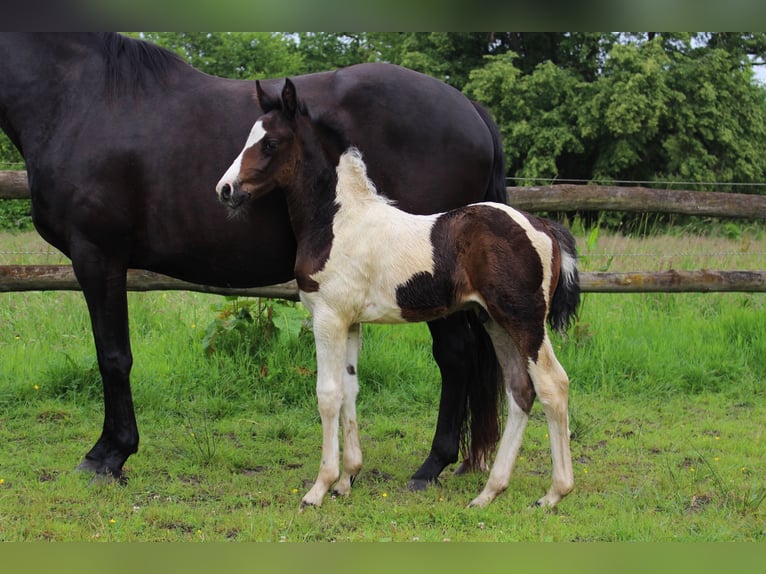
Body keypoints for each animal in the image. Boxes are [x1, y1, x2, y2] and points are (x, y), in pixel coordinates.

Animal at [0, 32, 507, 486]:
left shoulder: (97, 255)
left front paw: (108, 455)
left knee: (455, 356)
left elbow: (112, 356)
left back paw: (431, 466)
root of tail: (469, 107)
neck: (79, 97)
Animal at [216, 78, 580, 508]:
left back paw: (553, 495)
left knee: (553, 385)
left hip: (525, 320)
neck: (339, 221)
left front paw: (319, 488)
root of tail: (544, 227)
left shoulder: (328, 318)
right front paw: (346, 479)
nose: (226, 189)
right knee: (520, 390)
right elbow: (351, 391)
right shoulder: (351, 322)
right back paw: (488, 493)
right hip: (494, 320)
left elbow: (328, 395)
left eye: (271, 142)